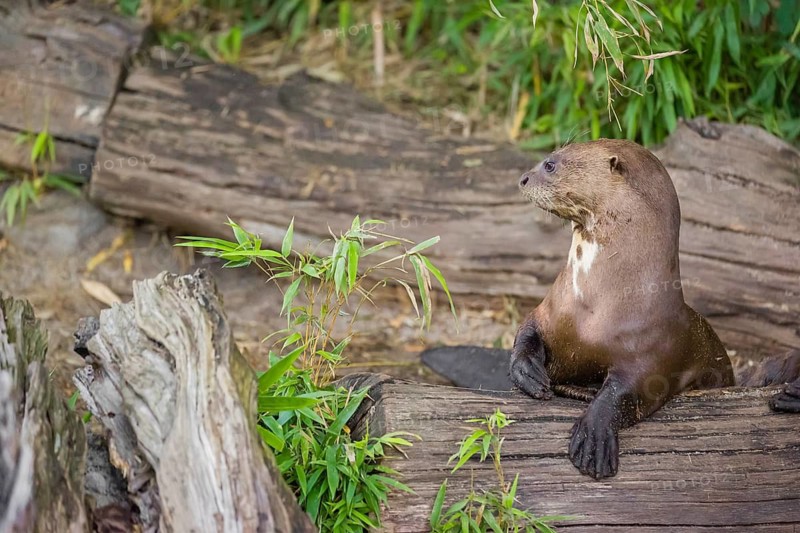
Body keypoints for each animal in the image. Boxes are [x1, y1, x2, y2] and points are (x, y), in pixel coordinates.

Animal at [510, 139, 799, 479]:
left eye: (550, 164)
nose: (523, 179)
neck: (590, 305)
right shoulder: (550, 310)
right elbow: (527, 329)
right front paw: (527, 371)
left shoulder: (650, 357)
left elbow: (625, 392)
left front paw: (593, 436)